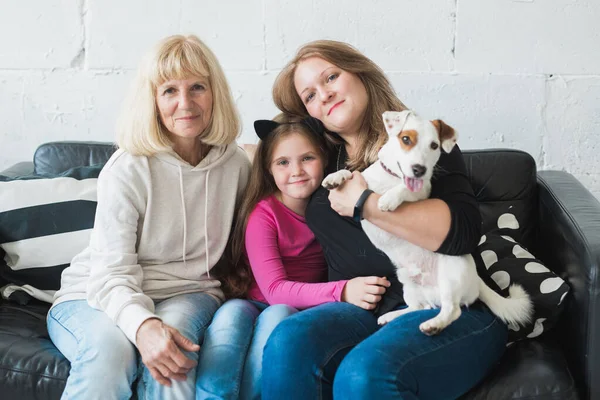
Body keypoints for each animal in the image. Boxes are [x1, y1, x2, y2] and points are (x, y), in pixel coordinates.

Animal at [322, 109, 532, 334]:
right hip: (408, 283)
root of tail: (477, 281)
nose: (419, 169)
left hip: (451, 272)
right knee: (419, 307)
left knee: (453, 310)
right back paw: (392, 316)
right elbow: (352, 173)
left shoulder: (422, 193)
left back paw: (434, 324)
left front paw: (389, 198)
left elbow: (404, 190)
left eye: (434, 146)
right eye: (406, 139)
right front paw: (335, 177)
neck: (392, 178)